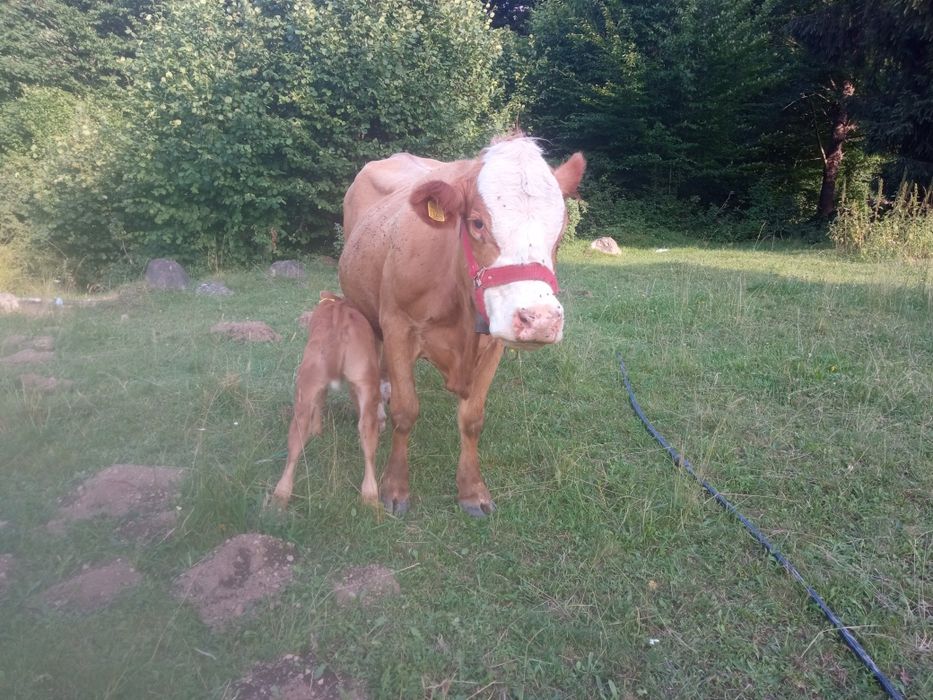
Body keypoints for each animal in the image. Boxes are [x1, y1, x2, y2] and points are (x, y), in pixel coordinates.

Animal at [271, 291, 385, 510]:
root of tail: (339, 316)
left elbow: (320, 402)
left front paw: (317, 432)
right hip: (363, 383)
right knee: (366, 431)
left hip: (307, 386)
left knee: (297, 439)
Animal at [339, 135, 585, 516]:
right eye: (477, 223)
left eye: (558, 230)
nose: (541, 319)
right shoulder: (397, 325)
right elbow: (405, 412)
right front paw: (395, 488)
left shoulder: (494, 342)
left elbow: (472, 419)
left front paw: (472, 491)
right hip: (363, 308)